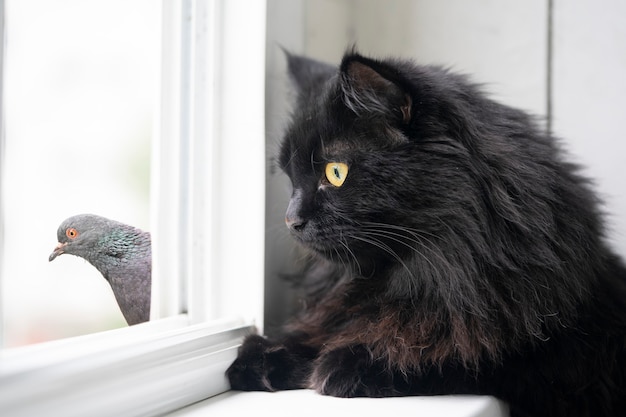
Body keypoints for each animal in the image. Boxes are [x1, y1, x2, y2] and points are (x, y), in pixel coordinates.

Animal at [227, 51, 624, 416]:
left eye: (335, 172)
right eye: (291, 177)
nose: (290, 219)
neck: (423, 276)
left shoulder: (548, 362)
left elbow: (459, 355)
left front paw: (355, 363)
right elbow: (328, 326)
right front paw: (263, 356)